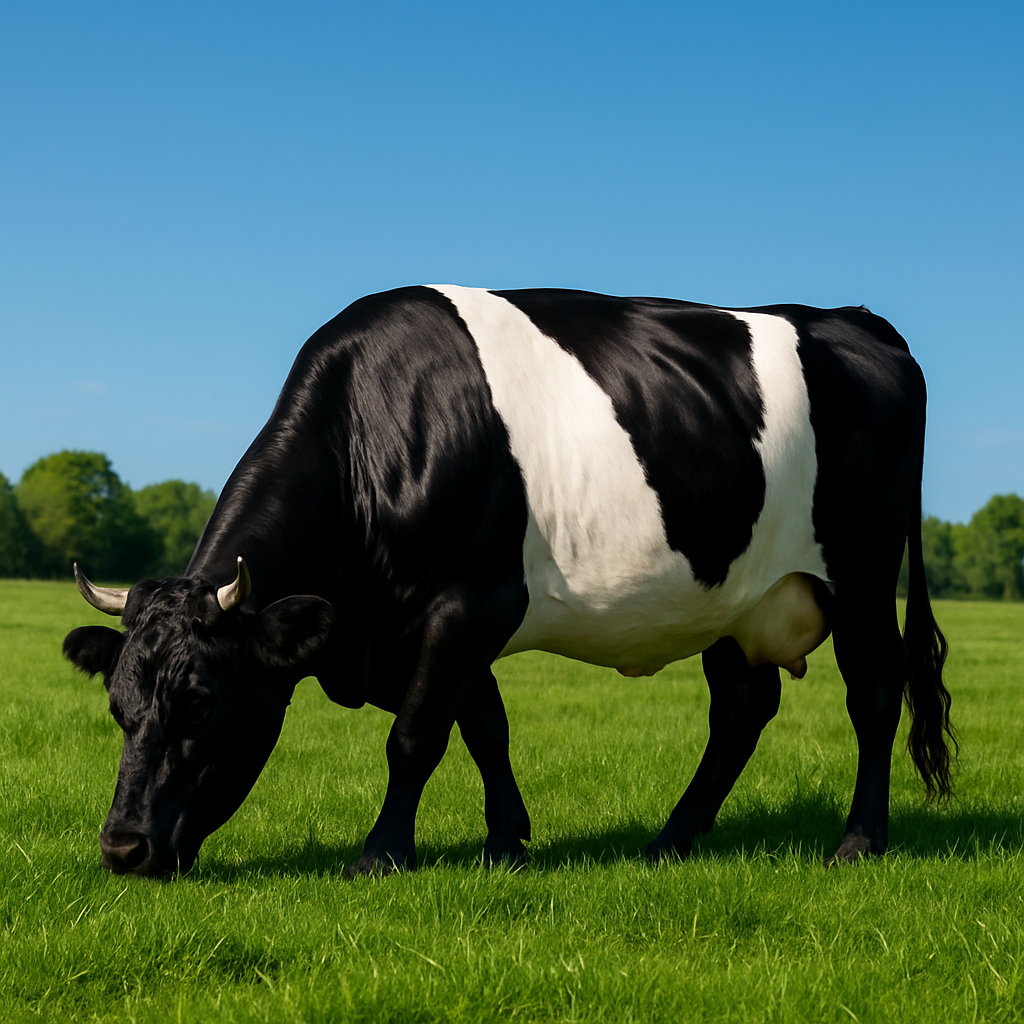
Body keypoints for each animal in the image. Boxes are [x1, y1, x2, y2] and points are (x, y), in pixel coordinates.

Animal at [63, 285, 955, 877]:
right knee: (741, 709)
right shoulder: (451, 622)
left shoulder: (468, 600)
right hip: (733, 598)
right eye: (118, 708)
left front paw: (382, 853)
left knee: (874, 694)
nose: (123, 847)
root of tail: (852, 319)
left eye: (200, 704)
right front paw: (505, 841)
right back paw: (669, 840)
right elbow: (483, 726)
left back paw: (857, 842)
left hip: (861, 573)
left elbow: (417, 734)